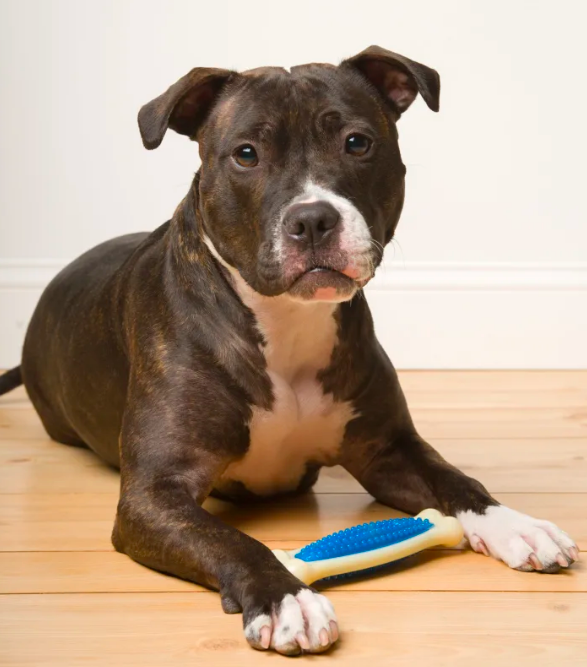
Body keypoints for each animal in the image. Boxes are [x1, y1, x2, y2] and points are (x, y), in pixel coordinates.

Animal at [0, 47, 580, 656]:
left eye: (357, 142)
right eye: (246, 154)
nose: (313, 219)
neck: (287, 322)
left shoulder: (387, 449)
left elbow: (457, 482)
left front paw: (515, 524)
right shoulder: (154, 494)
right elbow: (231, 540)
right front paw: (286, 599)